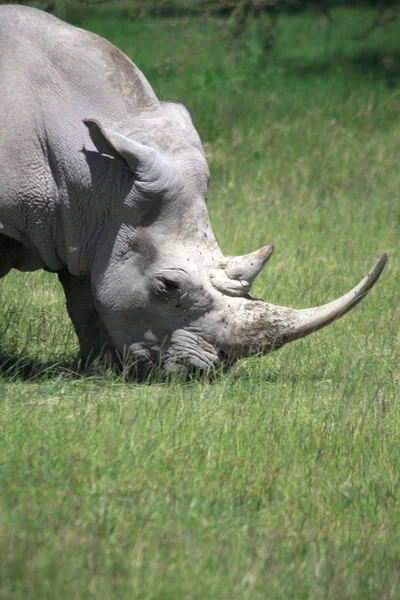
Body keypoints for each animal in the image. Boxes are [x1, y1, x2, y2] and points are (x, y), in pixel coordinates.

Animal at [0, 5, 388, 376]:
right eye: (168, 286)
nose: (205, 372)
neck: (100, 175)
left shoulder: (86, 225)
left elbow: (85, 299)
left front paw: (98, 371)